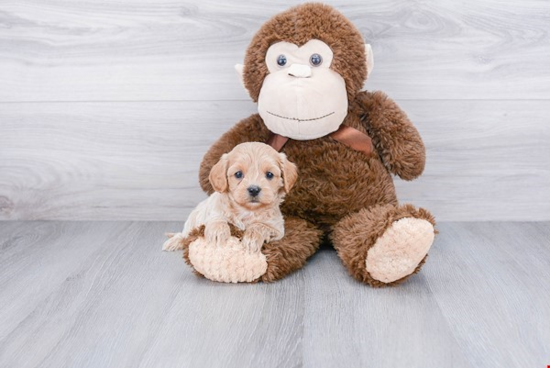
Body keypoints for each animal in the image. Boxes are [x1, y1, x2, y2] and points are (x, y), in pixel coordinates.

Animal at [164, 142, 300, 253]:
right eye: (238, 174)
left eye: (270, 174)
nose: (254, 189)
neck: (247, 211)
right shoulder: (213, 212)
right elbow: (217, 219)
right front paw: (218, 233)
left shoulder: (277, 229)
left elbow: (260, 226)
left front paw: (252, 239)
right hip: (193, 220)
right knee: (184, 234)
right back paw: (175, 241)